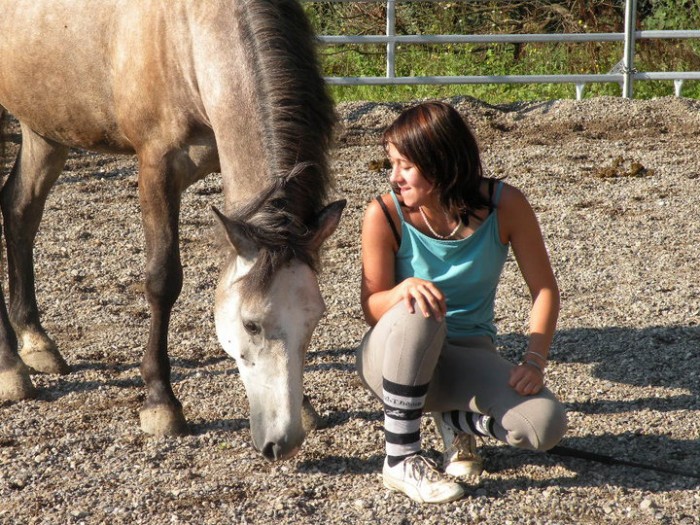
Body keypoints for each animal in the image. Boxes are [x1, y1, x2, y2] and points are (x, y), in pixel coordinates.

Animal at [0, 0, 344, 458]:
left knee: (19, 210)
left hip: (45, 128)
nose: (282, 441)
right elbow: (163, 281)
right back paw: (10, 367)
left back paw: (35, 341)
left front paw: (304, 407)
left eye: (315, 319)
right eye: (250, 324)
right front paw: (161, 403)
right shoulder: (156, 168)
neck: (189, 36)